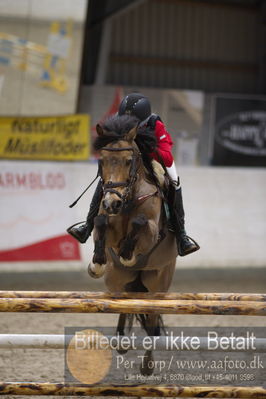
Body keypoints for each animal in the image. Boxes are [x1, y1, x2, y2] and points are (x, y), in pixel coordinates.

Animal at [88, 115, 178, 376]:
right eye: (102, 161)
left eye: (129, 161)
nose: (111, 202)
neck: (127, 198)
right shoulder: (108, 224)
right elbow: (100, 223)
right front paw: (97, 263)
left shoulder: (152, 232)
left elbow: (139, 224)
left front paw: (128, 254)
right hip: (117, 281)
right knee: (125, 305)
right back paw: (120, 341)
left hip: (158, 286)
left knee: (152, 325)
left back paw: (147, 366)